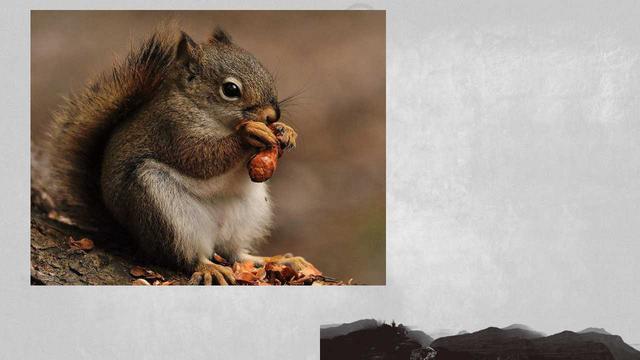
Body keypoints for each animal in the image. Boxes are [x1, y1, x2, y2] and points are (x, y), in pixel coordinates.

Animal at [47, 26, 312, 284]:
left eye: (264, 71)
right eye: (230, 89)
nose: (272, 115)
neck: (212, 115)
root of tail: (131, 235)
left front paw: (286, 131)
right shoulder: (172, 129)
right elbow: (200, 158)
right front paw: (248, 135)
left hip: (249, 212)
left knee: (237, 254)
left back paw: (278, 260)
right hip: (161, 205)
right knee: (186, 255)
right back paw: (208, 267)